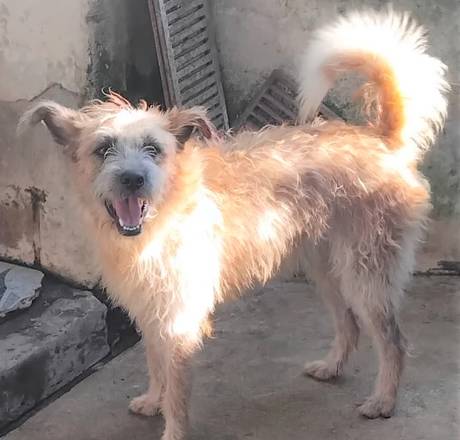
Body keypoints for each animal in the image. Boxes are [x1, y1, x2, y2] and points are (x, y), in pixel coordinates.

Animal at [20, 9, 448, 440]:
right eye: (103, 148)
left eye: (153, 149)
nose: (133, 179)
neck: (162, 217)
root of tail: (379, 139)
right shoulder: (150, 309)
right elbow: (155, 363)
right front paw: (154, 399)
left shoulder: (178, 318)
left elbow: (177, 387)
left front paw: (172, 427)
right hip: (325, 268)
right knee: (349, 324)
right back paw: (331, 368)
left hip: (367, 273)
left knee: (393, 340)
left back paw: (383, 401)